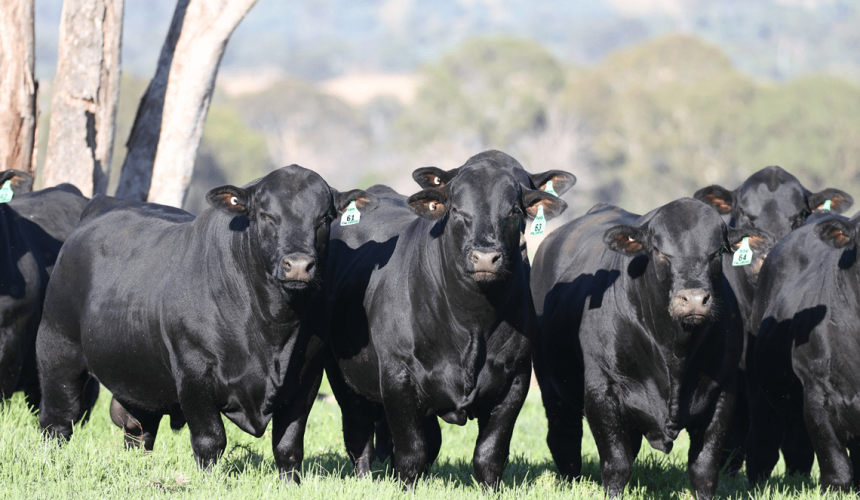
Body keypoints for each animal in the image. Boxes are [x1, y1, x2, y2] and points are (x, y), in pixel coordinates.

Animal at [36, 165, 377, 481]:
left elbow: (288, 446)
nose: (298, 265)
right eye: (266, 215)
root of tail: (102, 205)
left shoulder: (306, 377)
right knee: (58, 420)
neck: (272, 329)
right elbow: (210, 440)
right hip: (58, 350)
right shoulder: (193, 371)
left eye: (325, 218)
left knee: (137, 428)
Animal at [308, 159, 567, 488]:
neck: (472, 324)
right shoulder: (397, 375)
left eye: (513, 211)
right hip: (343, 377)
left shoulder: (515, 376)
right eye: (456, 210)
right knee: (359, 435)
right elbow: (411, 451)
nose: (485, 257)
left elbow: (489, 455)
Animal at [531, 198, 770, 499]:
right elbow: (616, 464)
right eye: (659, 251)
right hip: (550, 383)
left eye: (716, 253)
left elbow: (704, 469)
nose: (693, 299)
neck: (675, 353)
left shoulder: (722, 393)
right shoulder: (602, 389)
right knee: (564, 436)